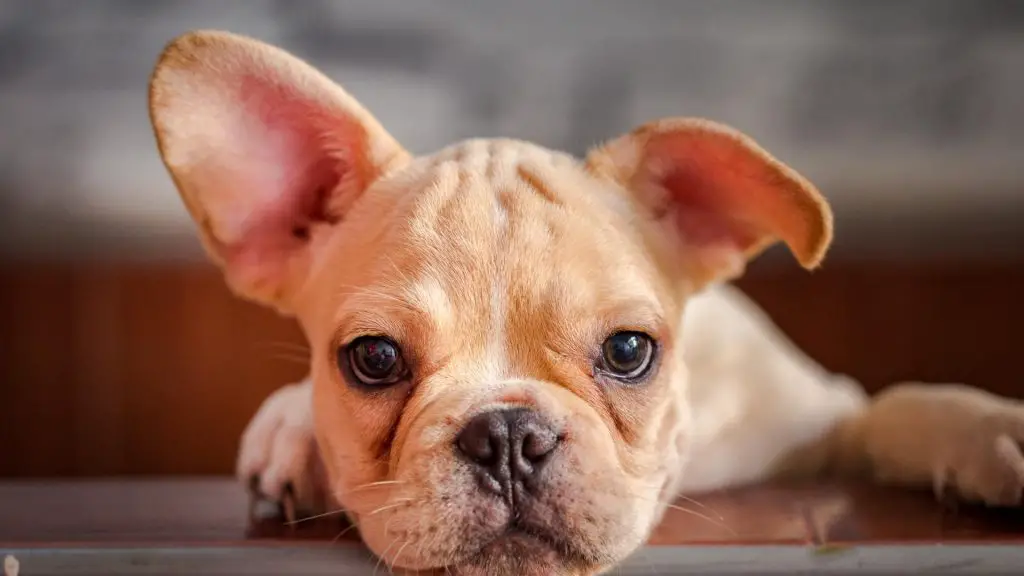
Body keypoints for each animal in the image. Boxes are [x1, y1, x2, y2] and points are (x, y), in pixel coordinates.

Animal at [148, 30, 1019, 573]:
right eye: (374, 359)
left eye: (630, 351)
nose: (507, 435)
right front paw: (296, 426)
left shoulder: (825, 418)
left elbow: (902, 403)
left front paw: (993, 432)